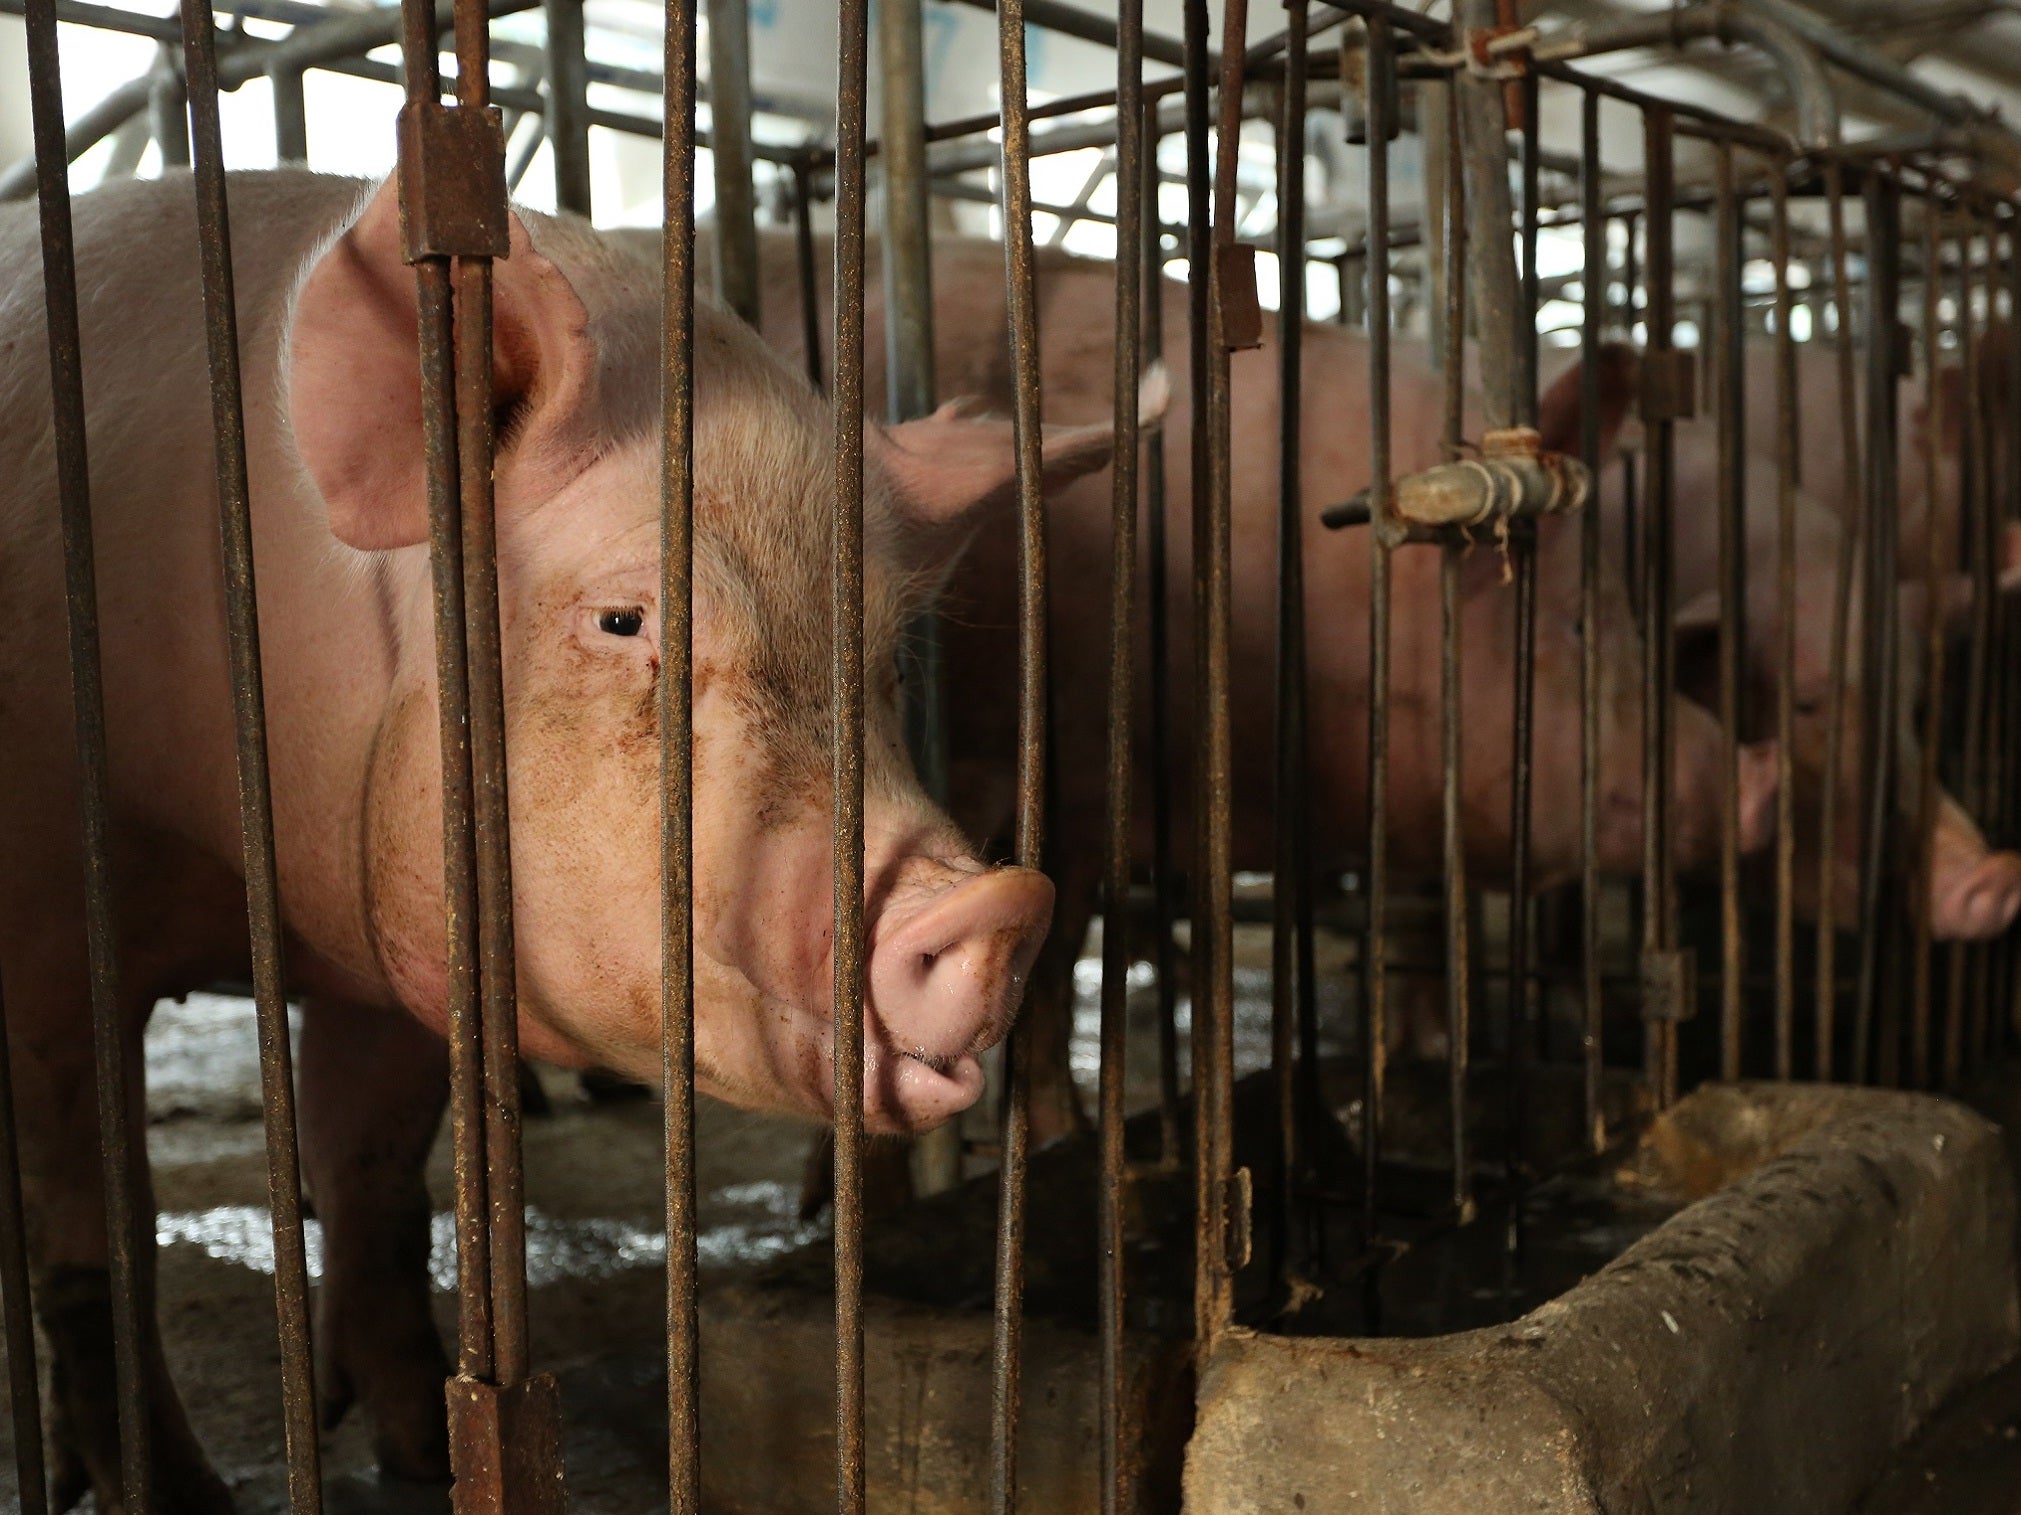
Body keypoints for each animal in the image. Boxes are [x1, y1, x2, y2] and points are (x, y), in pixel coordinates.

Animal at [0, 170, 1118, 1506]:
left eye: (890, 657)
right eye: (623, 620)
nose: (993, 908)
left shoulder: (386, 956)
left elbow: (374, 1190)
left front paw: (425, 1458)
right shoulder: (51, 921)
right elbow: (95, 1249)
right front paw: (186, 1496)